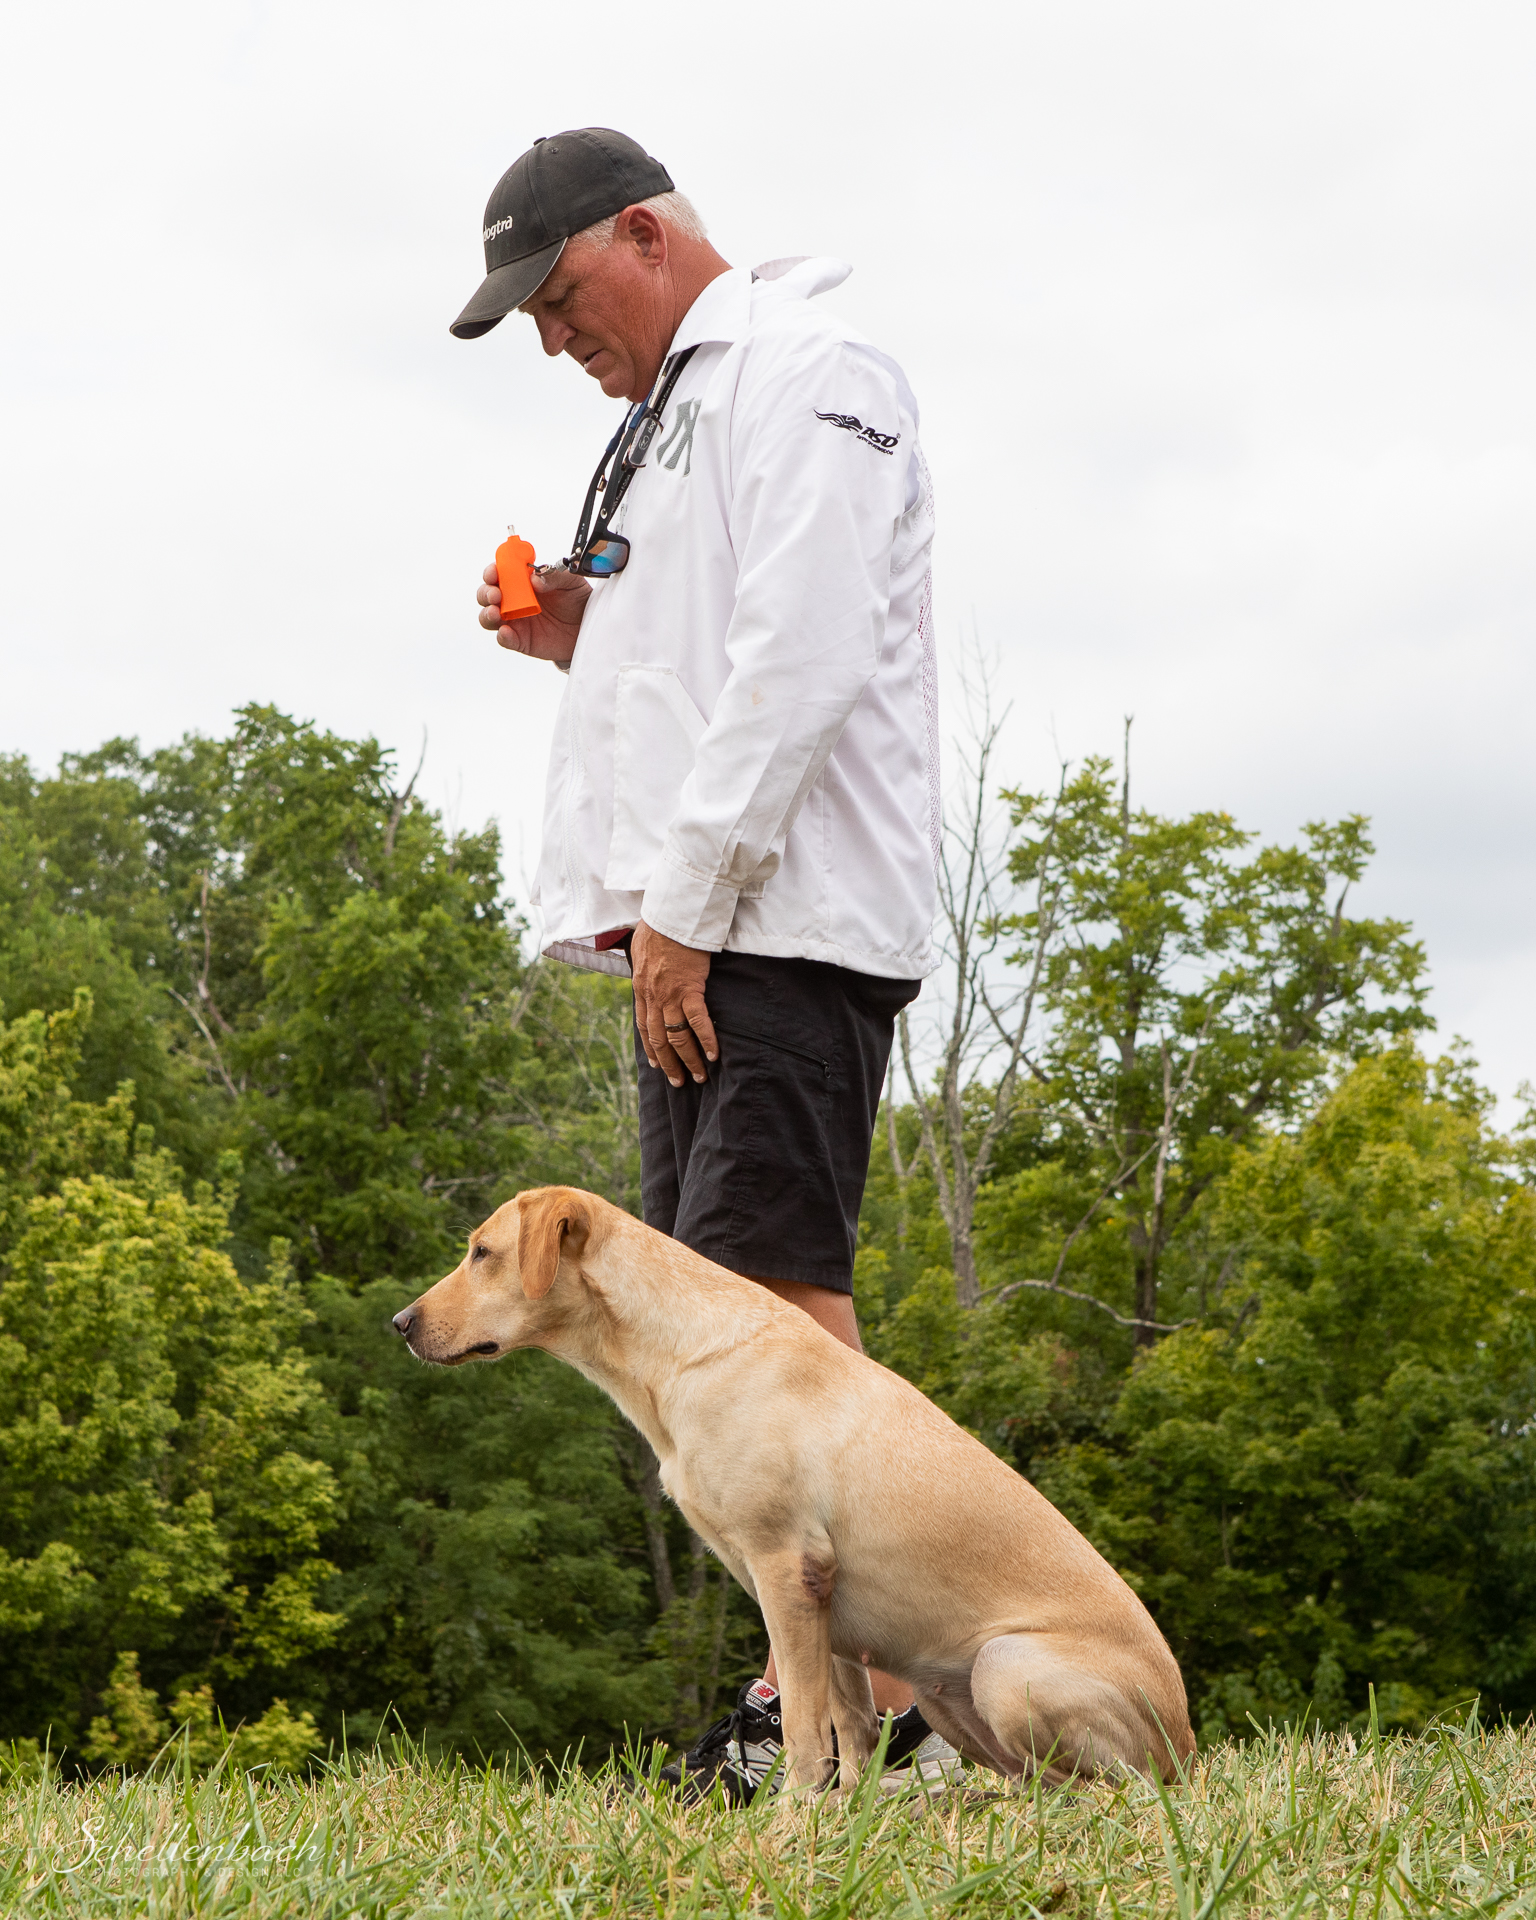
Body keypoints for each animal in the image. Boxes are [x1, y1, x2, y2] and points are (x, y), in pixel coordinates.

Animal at [393, 1185, 1196, 1792]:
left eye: (482, 1252)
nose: (399, 1323)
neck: (678, 1354)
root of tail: (1187, 1744)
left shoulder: (786, 1566)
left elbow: (810, 1731)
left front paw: (788, 1826)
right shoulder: (826, 1604)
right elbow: (852, 1726)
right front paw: (844, 1820)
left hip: (1006, 1666)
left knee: (1124, 1791)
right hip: (946, 1697)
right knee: (1046, 1782)